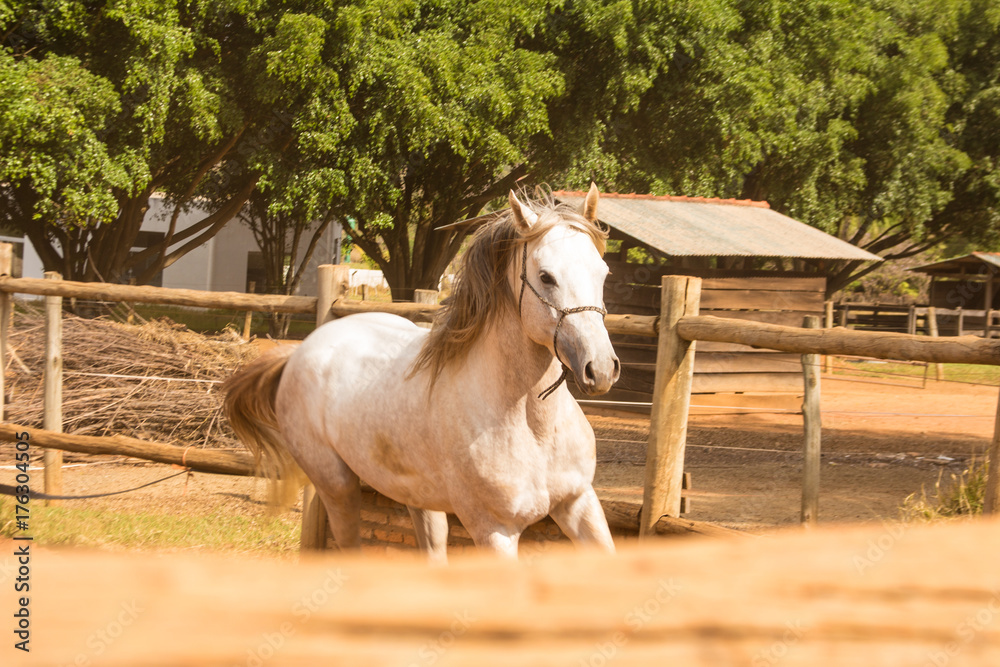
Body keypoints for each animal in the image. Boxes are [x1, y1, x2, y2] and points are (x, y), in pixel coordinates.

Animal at [225, 185, 616, 560]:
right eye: (546, 277)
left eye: (603, 272)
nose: (601, 369)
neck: (532, 427)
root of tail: (300, 351)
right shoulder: (494, 530)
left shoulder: (579, 503)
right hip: (337, 487)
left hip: (418, 497)